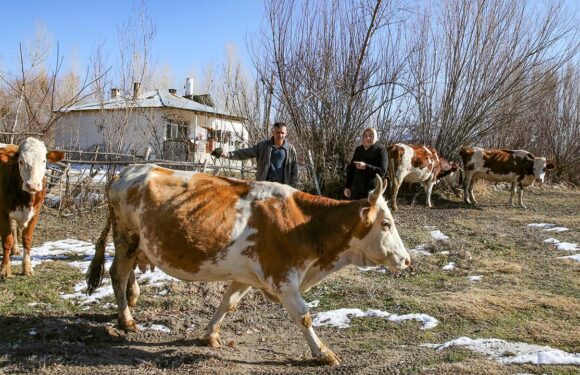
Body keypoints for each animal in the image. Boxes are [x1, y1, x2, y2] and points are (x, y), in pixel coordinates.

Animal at [0, 139, 65, 280]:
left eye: (44, 161)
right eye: (21, 161)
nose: (33, 185)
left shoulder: (35, 214)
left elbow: (27, 239)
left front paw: (27, 267)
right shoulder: (3, 212)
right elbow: (6, 241)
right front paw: (5, 269)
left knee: (14, 228)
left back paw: (15, 249)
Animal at [87, 165, 412, 368]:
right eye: (386, 224)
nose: (407, 259)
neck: (306, 226)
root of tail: (128, 171)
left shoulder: (247, 275)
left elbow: (227, 304)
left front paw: (210, 335)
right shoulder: (284, 279)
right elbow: (304, 317)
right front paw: (323, 353)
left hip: (136, 244)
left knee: (128, 275)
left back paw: (132, 300)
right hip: (126, 238)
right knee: (118, 274)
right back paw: (126, 319)